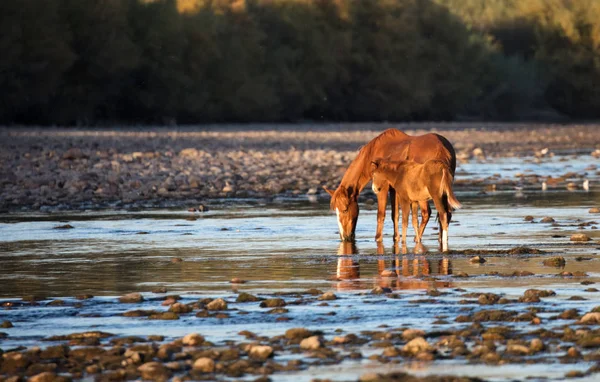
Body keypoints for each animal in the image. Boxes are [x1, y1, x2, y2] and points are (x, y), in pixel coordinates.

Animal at [324, 128, 454, 242]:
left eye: (345, 209)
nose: (344, 237)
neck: (372, 154)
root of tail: (441, 148)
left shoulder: (383, 188)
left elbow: (381, 214)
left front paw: (378, 238)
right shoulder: (394, 189)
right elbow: (394, 214)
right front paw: (396, 238)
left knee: (427, 213)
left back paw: (417, 239)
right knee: (445, 213)